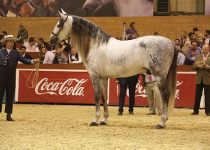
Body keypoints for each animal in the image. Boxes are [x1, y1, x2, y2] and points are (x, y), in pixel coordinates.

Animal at [50, 9, 178, 128]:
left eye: (59, 24)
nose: (51, 39)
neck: (96, 45)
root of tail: (170, 43)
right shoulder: (103, 77)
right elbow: (104, 97)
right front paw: (104, 120)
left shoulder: (94, 76)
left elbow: (97, 96)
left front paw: (95, 120)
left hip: (159, 76)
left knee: (165, 94)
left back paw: (161, 122)